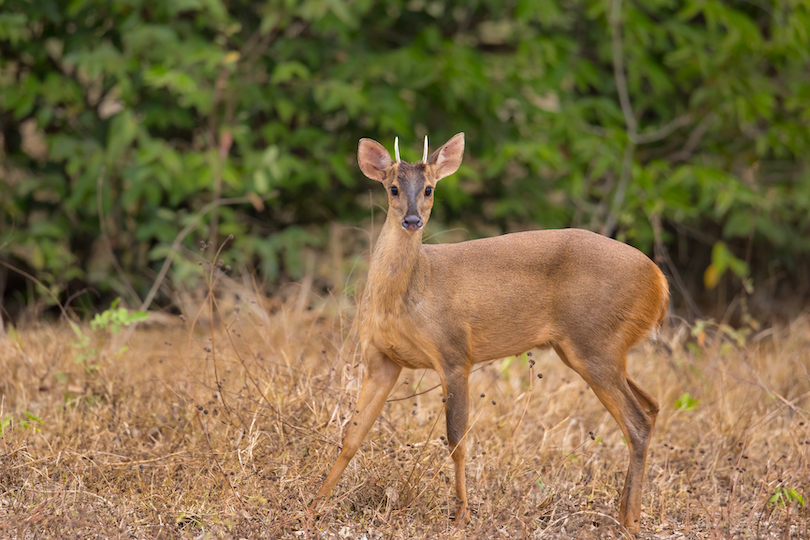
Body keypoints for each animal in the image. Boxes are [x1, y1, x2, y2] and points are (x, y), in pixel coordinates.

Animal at [312, 133, 664, 532]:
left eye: (429, 188)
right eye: (393, 188)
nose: (412, 220)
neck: (409, 293)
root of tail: (659, 281)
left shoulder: (453, 352)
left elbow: (456, 440)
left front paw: (461, 515)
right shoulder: (381, 359)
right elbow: (352, 434)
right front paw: (314, 507)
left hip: (595, 343)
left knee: (636, 422)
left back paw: (630, 520)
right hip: (594, 349)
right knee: (651, 407)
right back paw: (623, 512)